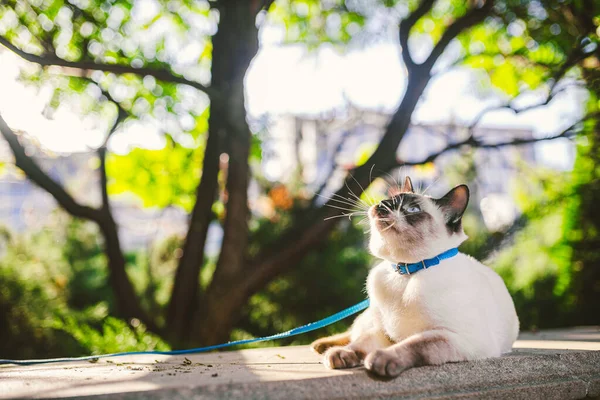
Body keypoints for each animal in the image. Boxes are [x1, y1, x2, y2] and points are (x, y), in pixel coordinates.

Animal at [312, 178, 516, 378]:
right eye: (387, 200)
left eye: (413, 210)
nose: (382, 204)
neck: (405, 271)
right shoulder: (383, 331)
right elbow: (360, 344)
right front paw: (341, 354)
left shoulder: (455, 336)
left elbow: (415, 343)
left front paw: (381, 359)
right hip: (371, 319)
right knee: (353, 332)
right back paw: (323, 346)